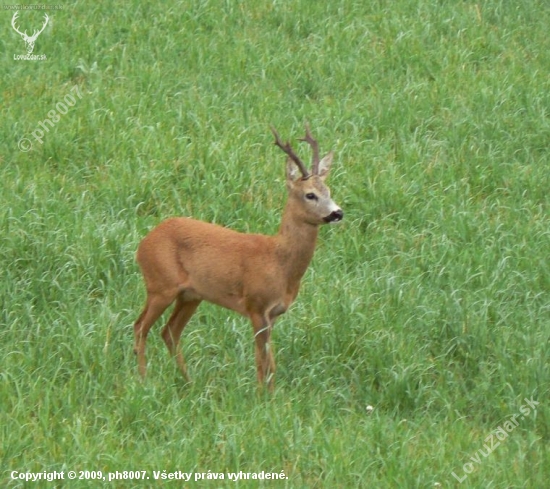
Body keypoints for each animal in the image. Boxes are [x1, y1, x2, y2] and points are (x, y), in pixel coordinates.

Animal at [133, 125, 344, 388]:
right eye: (310, 195)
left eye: (329, 191)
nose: (337, 213)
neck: (279, 263)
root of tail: (143, 244)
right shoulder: (256, 305)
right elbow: (262, 362)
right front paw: (260, 394)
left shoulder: (273, 313)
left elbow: (271, 363)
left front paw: (272, 394)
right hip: (160, 284)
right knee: (140, 327)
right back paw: (143, 380)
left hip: (191, 295)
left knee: (169, 331)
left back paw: (188, 382)